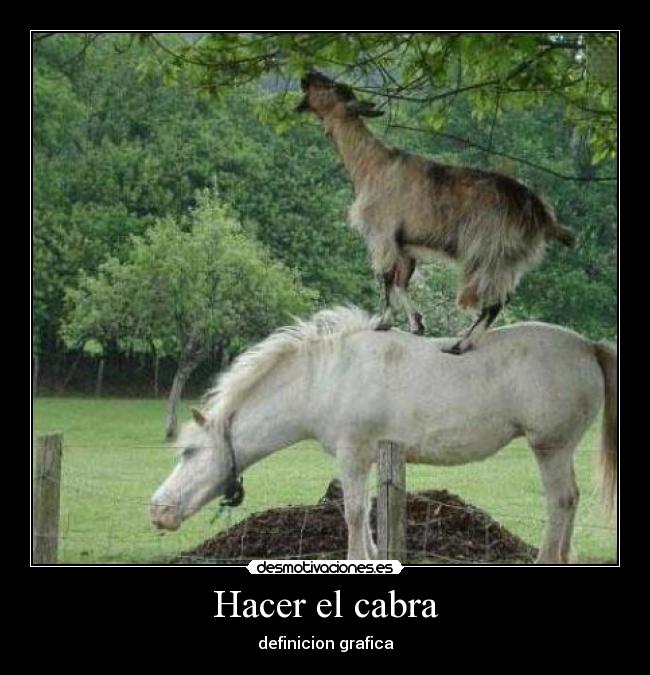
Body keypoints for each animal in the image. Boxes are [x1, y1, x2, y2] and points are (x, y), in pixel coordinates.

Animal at [295, 70, 575, 354]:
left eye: (331, 87)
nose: (307, 74)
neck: (372, 164)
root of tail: (543, 217)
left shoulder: (383, 235)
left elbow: (387, 278)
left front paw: (384, 322)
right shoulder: (405, 244)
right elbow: (402, 281)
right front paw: (417, 325)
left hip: (492, 255)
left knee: (495, 301)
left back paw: (460, 344)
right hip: (508, 262)